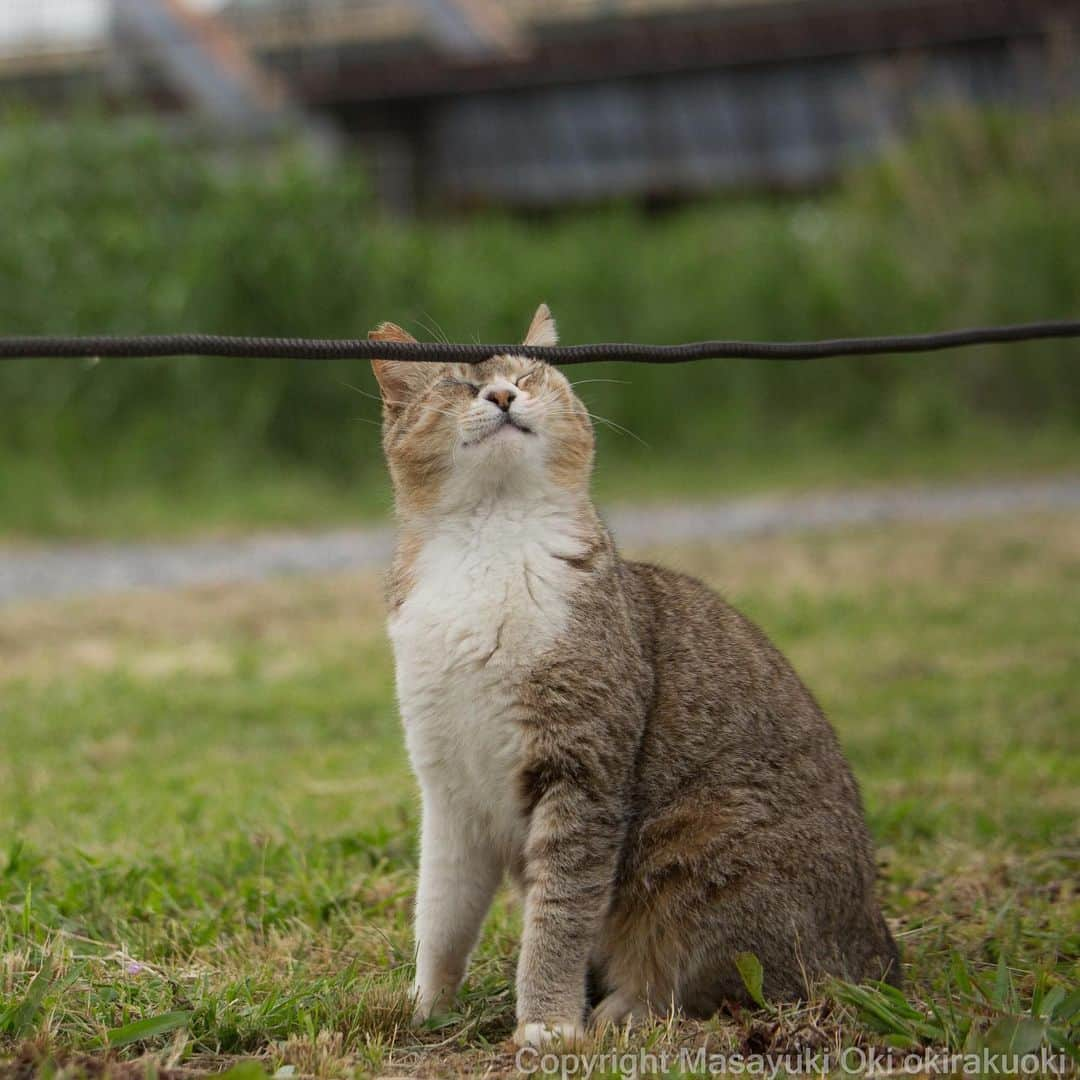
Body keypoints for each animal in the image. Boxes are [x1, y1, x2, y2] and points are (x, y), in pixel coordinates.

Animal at [371, 304, 902, 1045]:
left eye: (527, 375)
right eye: (459, 383)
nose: (501, 396)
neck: (491, 543)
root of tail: (876, 947)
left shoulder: (583, 771)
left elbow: (558, 917)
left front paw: (547, 1023)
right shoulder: (450, 791)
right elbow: (440, 913)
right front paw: (426, 1005)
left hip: (708, 856)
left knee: (718, 981)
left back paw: (626, 1008)